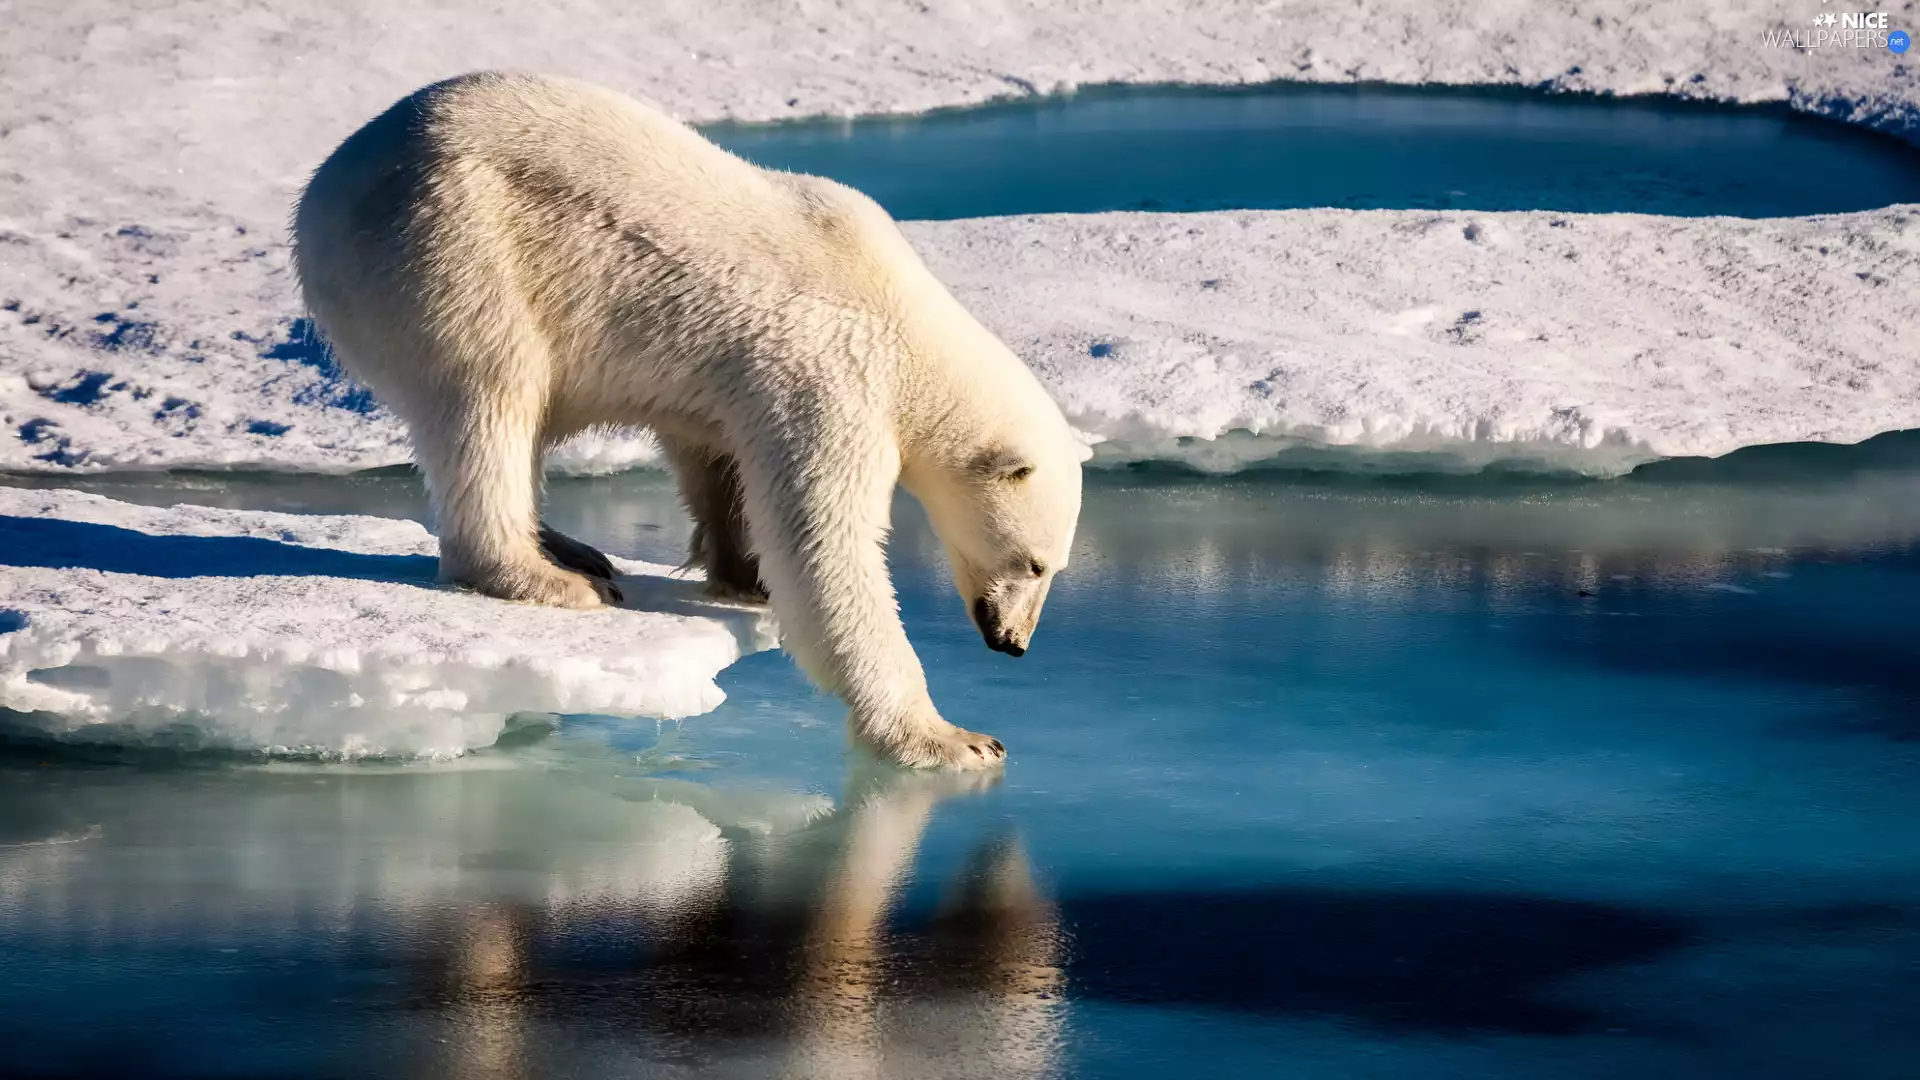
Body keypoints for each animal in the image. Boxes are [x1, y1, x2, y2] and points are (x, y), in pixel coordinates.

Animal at [293, 72, 1086, 770]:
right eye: (1034, 563)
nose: (1013, 642)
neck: (906, 322)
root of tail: (323, 191)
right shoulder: (832, 375)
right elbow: (825, 546)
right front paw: (953, 739)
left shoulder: (742, 381)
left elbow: (719, 459)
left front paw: (743, 574)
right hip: (452, 246)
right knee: (490, 395)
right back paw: (549, 576)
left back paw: (571, 547)